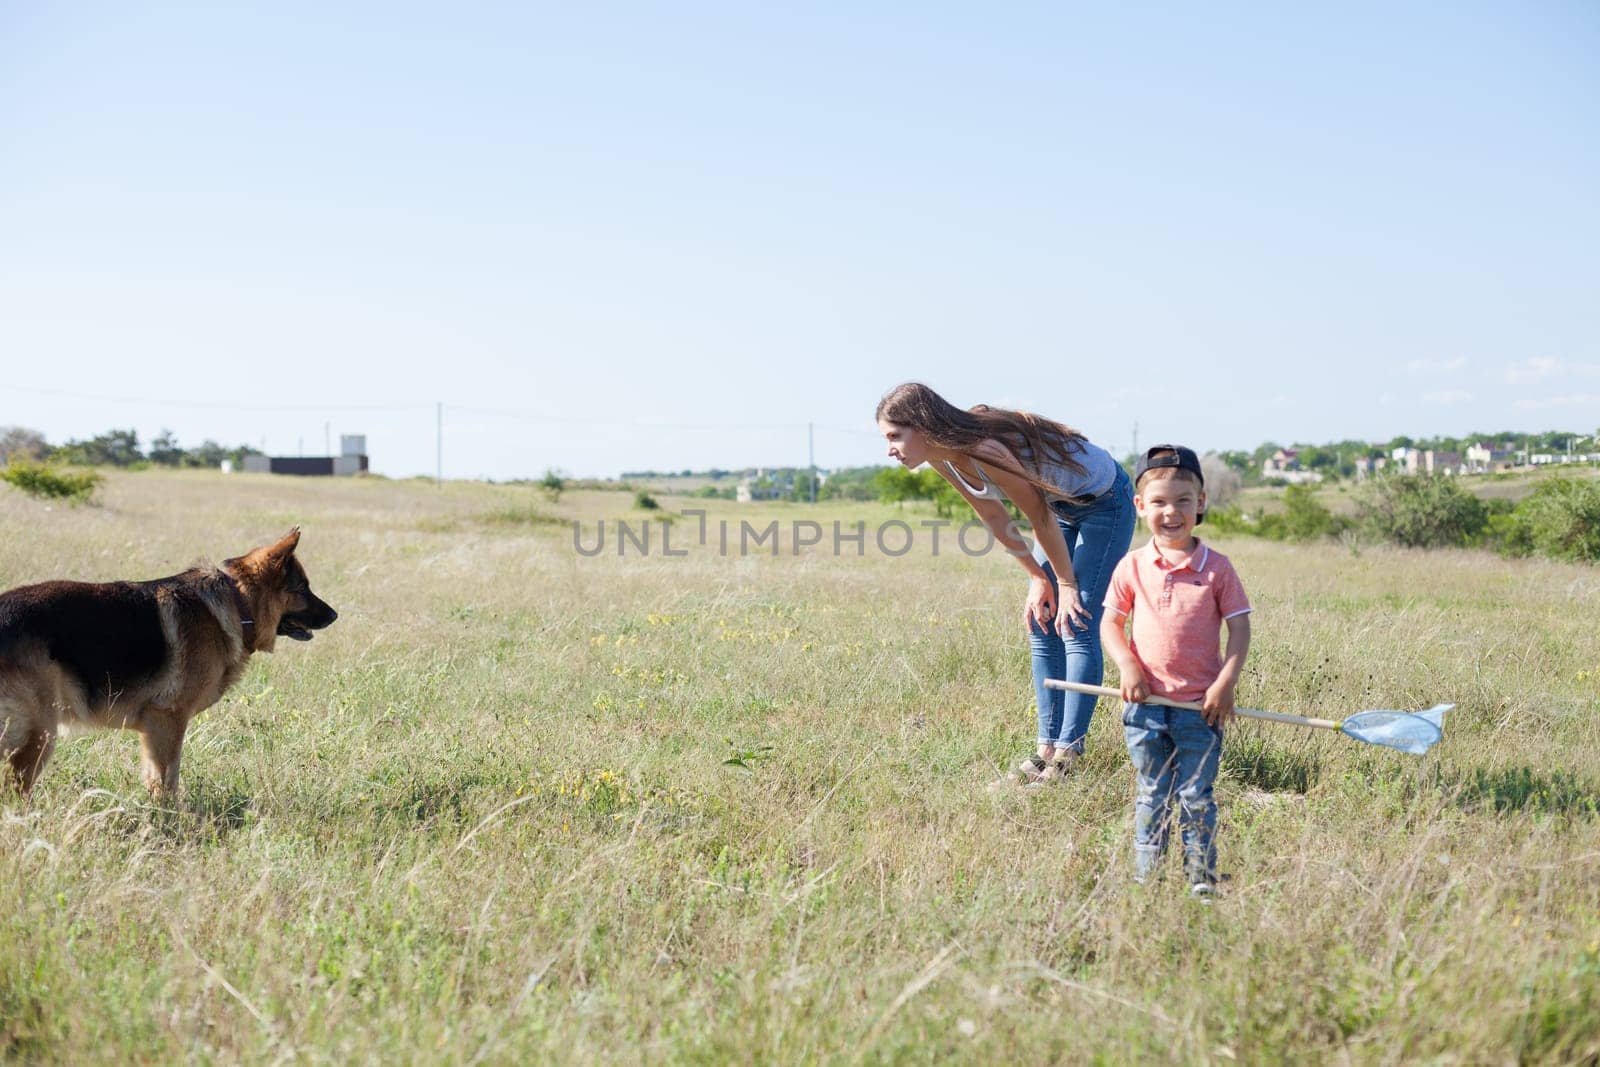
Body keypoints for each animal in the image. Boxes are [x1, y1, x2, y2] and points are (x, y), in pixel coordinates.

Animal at [0, 531, 334, 796]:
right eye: (302, 589)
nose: (335, 615)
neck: (237, 604)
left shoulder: (156, 728)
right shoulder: (168, 720)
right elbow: (167, 781)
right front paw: (168, 820)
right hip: (38, 735)